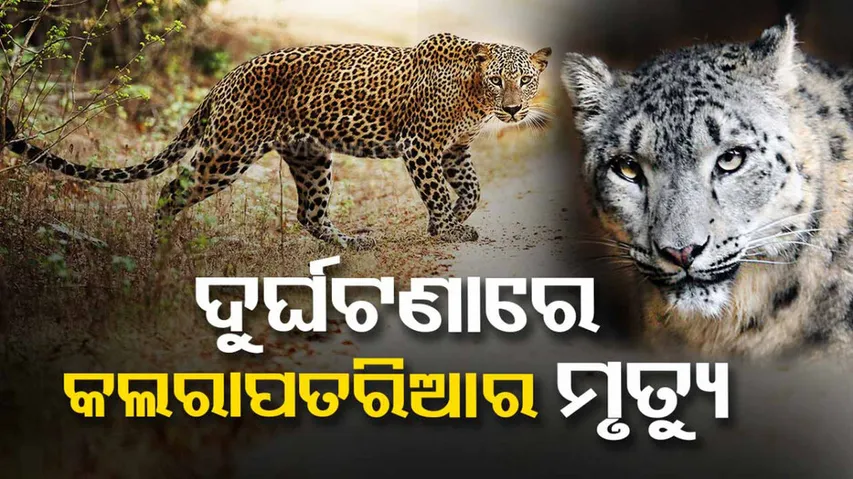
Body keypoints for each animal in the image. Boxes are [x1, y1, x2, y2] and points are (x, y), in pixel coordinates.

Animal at [3, 33, 551, 249]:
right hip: (229, 152)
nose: (513, 110)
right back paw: (159, 247)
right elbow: (437, 190)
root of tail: (226, 78)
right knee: (171, 189)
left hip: (310, 156)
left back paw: (352, 243)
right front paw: (447, 227)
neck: (474, 97)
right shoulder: (420, 144)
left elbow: (472, 189)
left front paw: (456, 220)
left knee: (310, 213)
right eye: (499, 80)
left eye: (525, 80)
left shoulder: (454, 148)